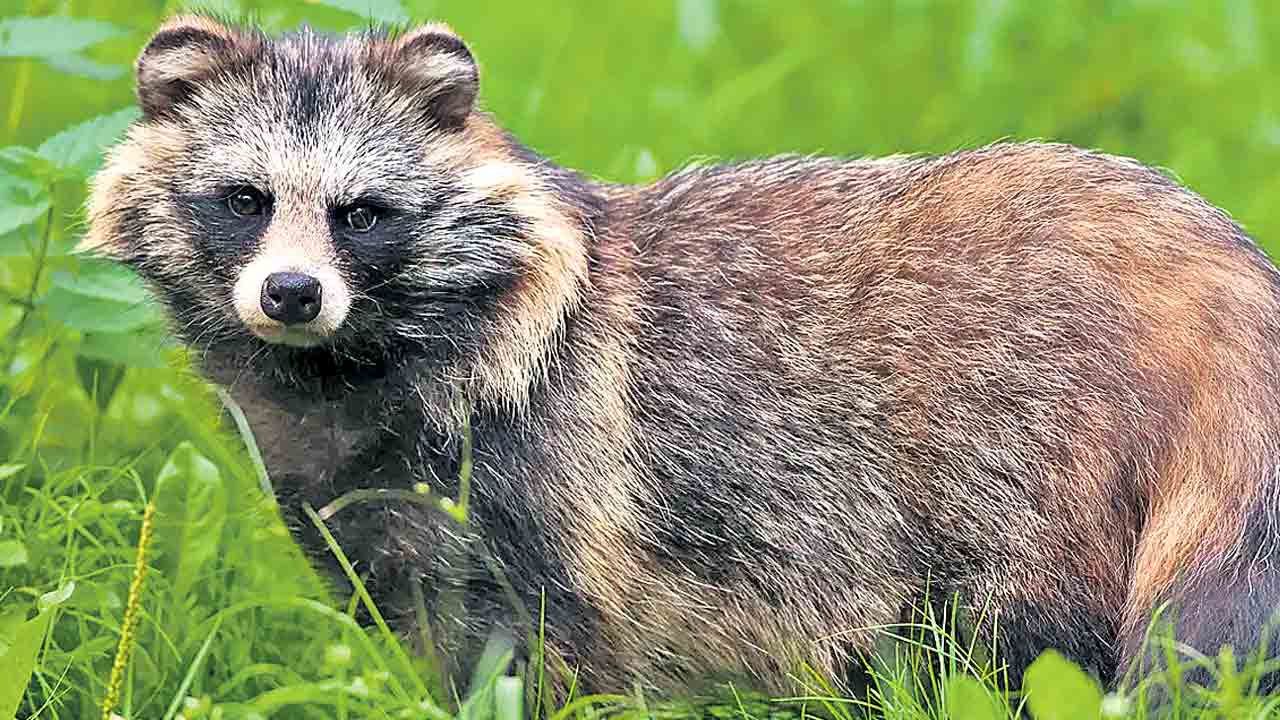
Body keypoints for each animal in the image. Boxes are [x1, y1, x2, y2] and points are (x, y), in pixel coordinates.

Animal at [83, 13, 1280, 701]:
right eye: (244, 199)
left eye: (361, 213)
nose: (292, 294)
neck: (341, 378)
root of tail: (1212, 267)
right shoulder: (365, 516)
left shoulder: (538, 476)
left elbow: (547, 656)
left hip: (1028, 458)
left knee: (1025, 645)